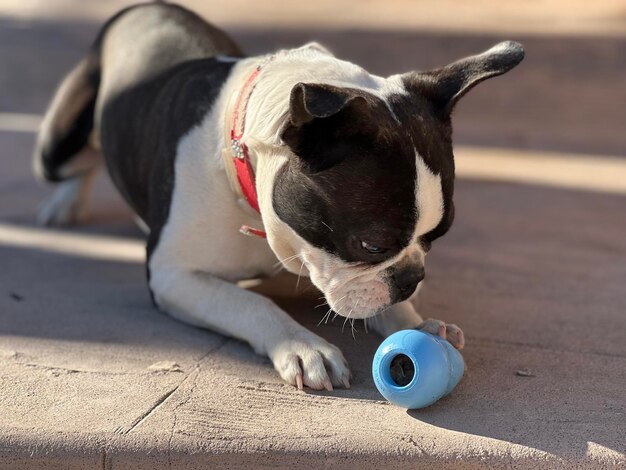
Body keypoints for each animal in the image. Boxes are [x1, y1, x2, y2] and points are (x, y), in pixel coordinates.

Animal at [33, 3, 520, 392]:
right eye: (372, 245)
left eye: (437, 238)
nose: (412, 278)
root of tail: (145, 6)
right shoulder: (173, 276)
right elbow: (250, 302)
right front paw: (304, 347)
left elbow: (386, 310)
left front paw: (419, 323)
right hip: (57, 147)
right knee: (78, 162)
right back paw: (64, 205)